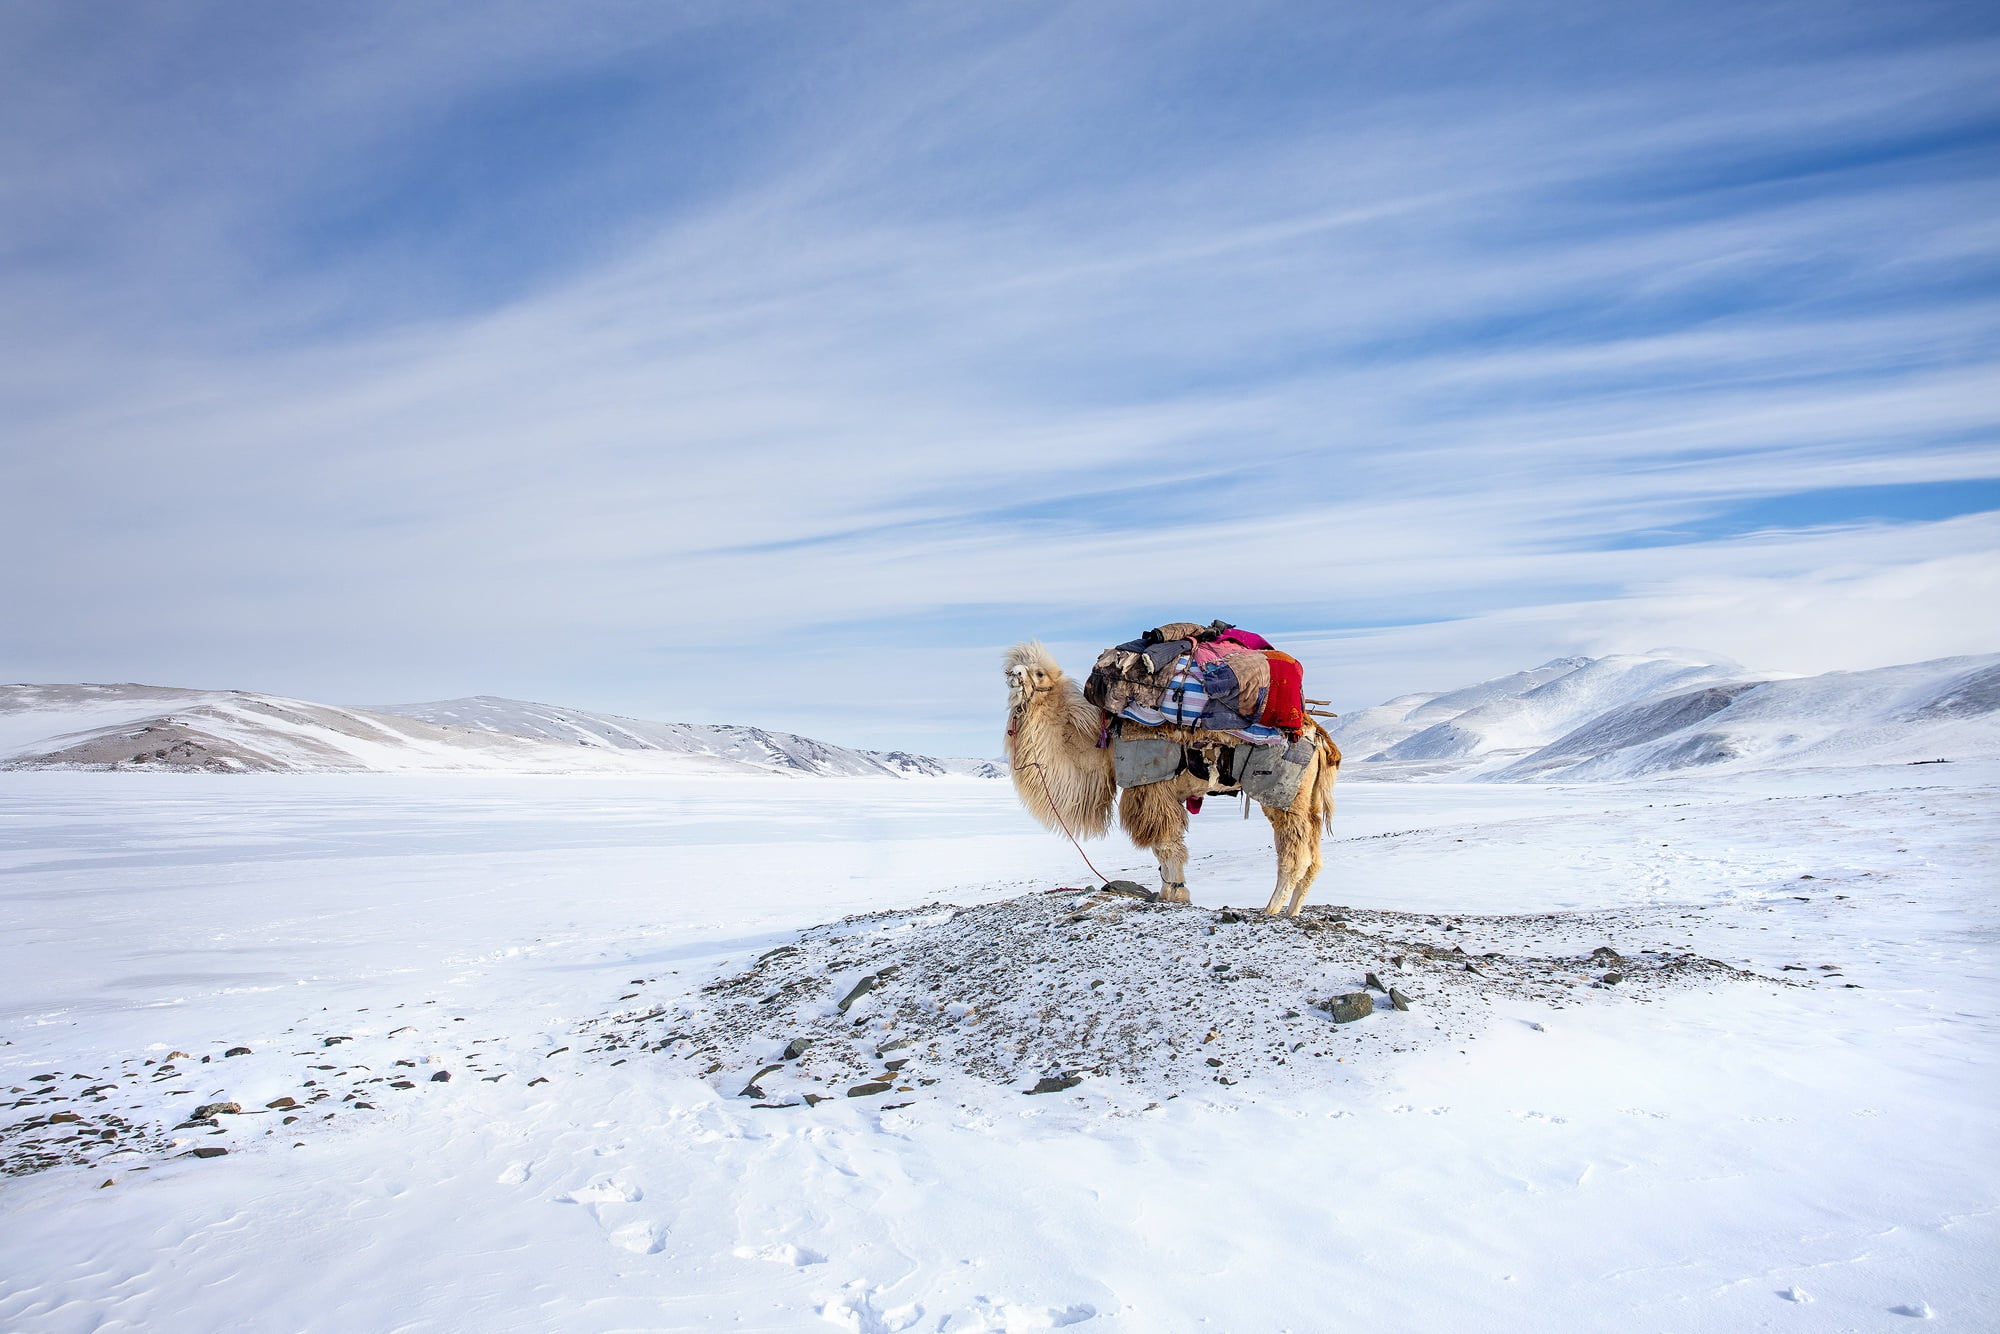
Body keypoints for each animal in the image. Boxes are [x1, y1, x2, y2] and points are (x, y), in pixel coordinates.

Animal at [1003, 640, 1341, 915]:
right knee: (1314, 857)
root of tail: (1319, 737)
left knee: (1295, 854)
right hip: (1307, 799)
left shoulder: (1149, 787)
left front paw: (1175, 894)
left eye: (1039, 674)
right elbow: (1164, 847)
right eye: (1011, 667)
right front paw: (1168, 892)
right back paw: (1292, 911)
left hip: (1282, 794)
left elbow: (1167, 845)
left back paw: (1270, 909)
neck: (1104, 748)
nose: (1013, 675)